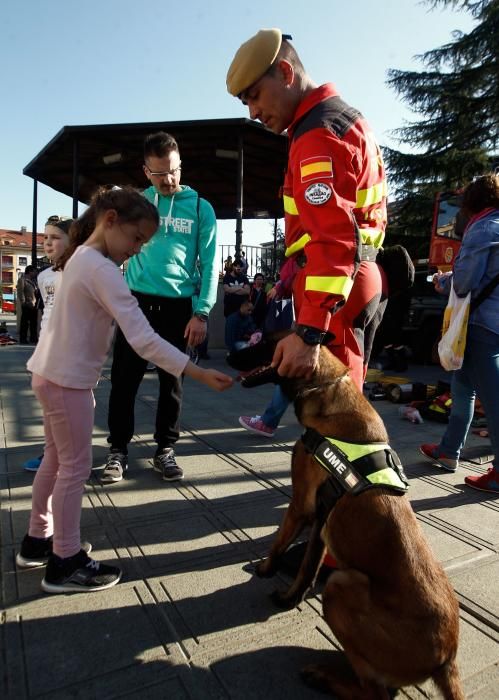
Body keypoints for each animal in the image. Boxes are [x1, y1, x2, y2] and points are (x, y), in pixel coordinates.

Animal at [234, 346, 464, 700]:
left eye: (261, 340)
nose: (230, 355)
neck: (325, 387)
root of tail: (447, 658)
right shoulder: (320, 518)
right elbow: (307, 569)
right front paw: (291, 598)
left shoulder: (301, 506)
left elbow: (279, 541)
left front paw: (267, 570)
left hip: (341, 585)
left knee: (375, 693)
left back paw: (325, 677)